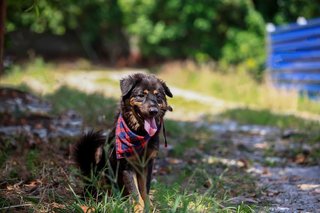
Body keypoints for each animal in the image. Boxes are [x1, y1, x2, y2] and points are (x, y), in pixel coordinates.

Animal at [73, 73, 172, 211]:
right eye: (141, 95)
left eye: (158, 96)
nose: (153, 111)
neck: (140, 134)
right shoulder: (127, 165)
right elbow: (135, 192)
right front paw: (139, 208)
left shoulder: (146, 164)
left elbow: (144, 189)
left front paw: (148, 206)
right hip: (103, 167)